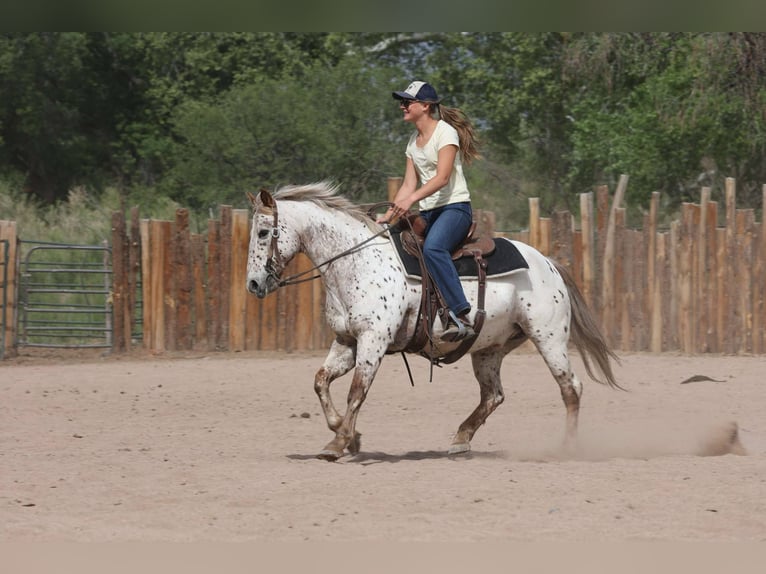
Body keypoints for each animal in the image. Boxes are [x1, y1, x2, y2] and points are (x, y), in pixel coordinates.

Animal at [246, 181, 621, 461]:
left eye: (264, 232)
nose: (253, 284)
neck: (356, 261)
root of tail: (549, 263)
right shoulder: (347, 340)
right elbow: (321, 381)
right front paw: (348, 434)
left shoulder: (373, 339)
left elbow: (357, 391)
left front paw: (338, 443)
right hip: (489, 348)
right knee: (493, 395)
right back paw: (460, 438)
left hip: (549, 337)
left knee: (571, 388)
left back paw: (567, 447)